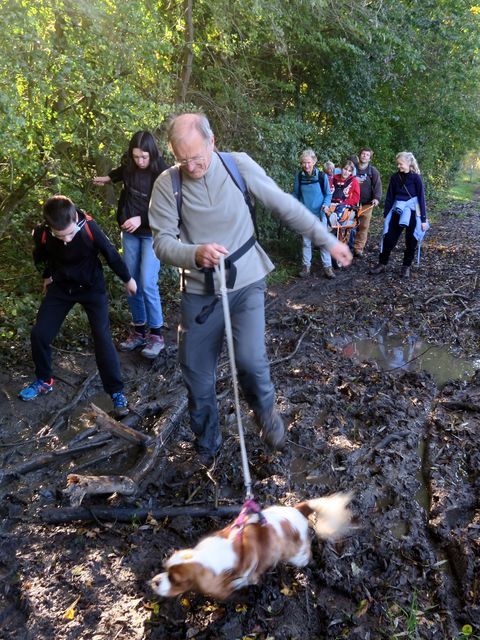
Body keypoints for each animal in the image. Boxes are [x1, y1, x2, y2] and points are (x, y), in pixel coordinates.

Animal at [151, 492, 352, 604]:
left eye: (176, 580)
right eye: (166, 569)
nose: (154, 582)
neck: (209, 557)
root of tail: (298, 509)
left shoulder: (246, 575)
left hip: (297, 554)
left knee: (306, 556)